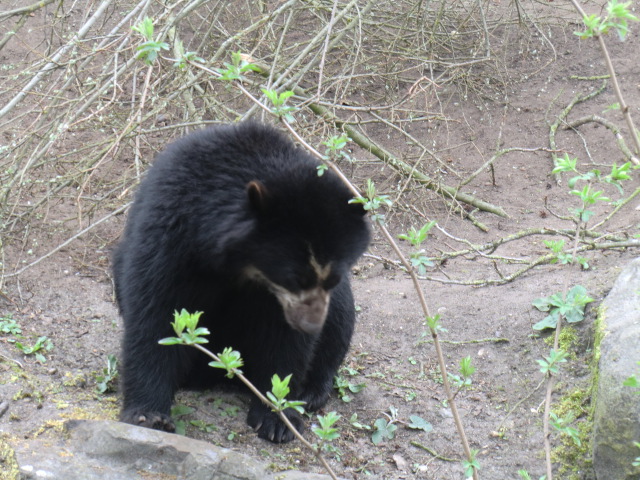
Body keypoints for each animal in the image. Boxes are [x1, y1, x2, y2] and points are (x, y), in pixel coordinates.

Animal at [112, 121, 370, 443]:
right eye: (294, 277)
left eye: (331, 278)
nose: (311, 325)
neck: (242, 266)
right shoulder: (170, 232)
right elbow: (157, 311)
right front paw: (148, 416)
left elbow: (285, 341)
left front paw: (278, 420)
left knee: (341, 318)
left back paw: (312, 392)